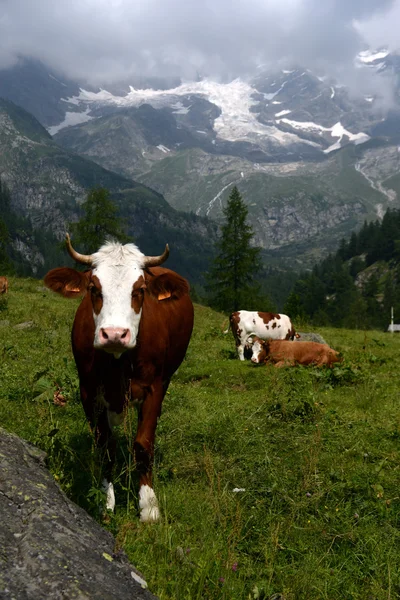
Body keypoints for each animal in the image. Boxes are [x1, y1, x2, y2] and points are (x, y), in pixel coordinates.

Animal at [43, 234, 194, 520]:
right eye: (93, 288)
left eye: (140, 290)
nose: (114, 334)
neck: (118, 362)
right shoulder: (89, 391)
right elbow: (106, 446)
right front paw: (106, 500)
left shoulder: (153, 388)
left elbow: (143, 445)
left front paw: (148, 506)